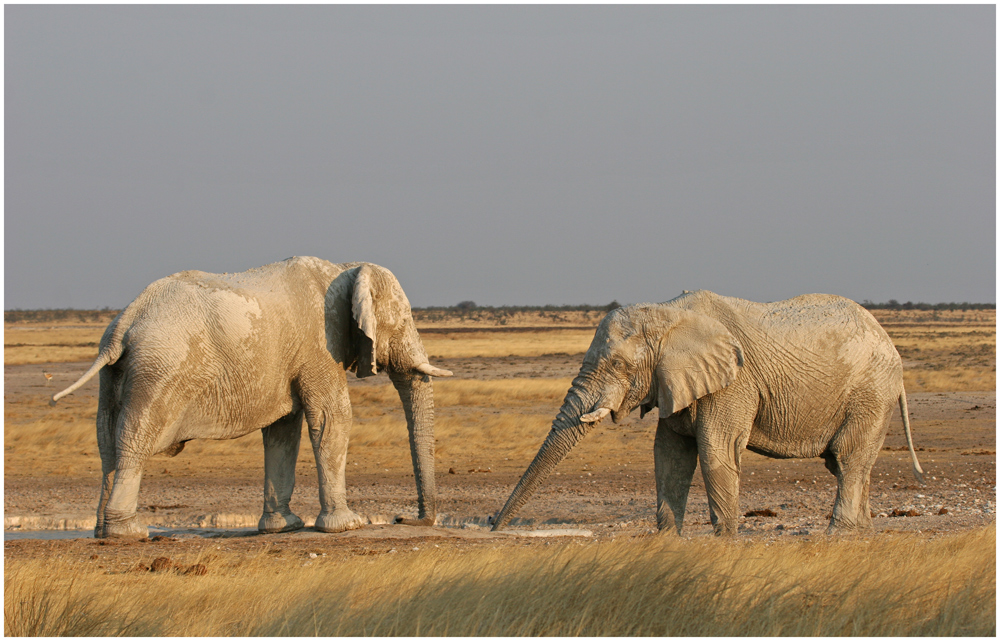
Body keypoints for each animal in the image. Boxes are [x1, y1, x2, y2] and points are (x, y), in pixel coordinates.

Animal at [50, 258, 450, 536]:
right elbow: (332, 418)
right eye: (404, 321)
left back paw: (102, 531)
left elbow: (282, 431)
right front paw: (346, 525)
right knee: (135, 437)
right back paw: (129, 531)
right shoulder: (319, 345)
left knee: (107, 441)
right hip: (159, 368)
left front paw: (284, 526)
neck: (345, 267)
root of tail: (124, 323)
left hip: (116, 374)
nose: (403, 518)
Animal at [490, 290, 920, 536]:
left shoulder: (734, 382)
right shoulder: (674, 379)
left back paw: (839, 535)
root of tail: (889, 342)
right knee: (848, 464)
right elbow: (669, 455)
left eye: (618, 366)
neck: (669, 314)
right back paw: (862, 532)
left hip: (871, 392)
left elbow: (716, 451)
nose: (492, 525)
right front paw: (667, 540)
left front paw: (725, 541)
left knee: (848, 459)